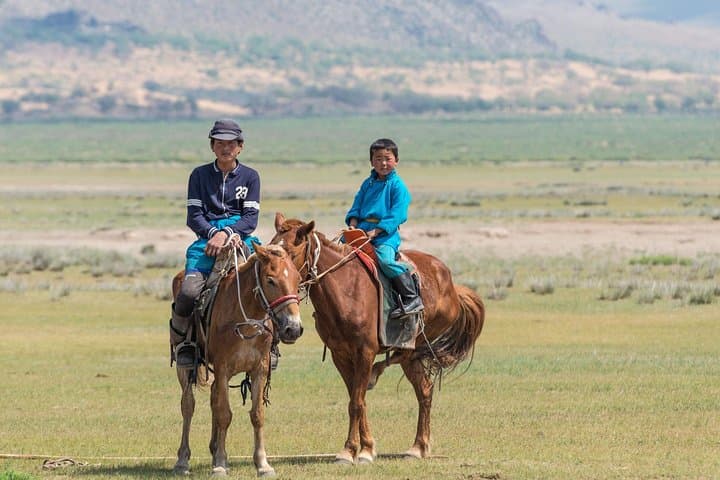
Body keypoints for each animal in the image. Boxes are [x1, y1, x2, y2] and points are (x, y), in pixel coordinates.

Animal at [171, 243, 304, 477]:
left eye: (298, 279)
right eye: (270, 280)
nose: (293, 328)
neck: (246, 321)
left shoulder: (260, 369)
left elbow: (257, 414)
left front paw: (262, 464)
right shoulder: (223, 368)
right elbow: (224, 414)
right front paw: (220, 464)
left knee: (213, 398)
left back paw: (214, 448)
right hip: (184, 367)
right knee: (188, 405)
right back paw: (183, 460)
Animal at [270, 212, 485, 464]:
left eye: (291, 251)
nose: (272, 277)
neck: (346, 290)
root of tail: (450, 283)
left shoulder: (365, 352)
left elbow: (356, 402)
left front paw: (351, 451)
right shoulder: (339, 355)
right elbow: (358, 400)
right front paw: (366, 448)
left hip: (418, 339)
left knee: (404, 358)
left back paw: (379, 373)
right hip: (411, 354)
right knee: (424, 390)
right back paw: (418, 446)